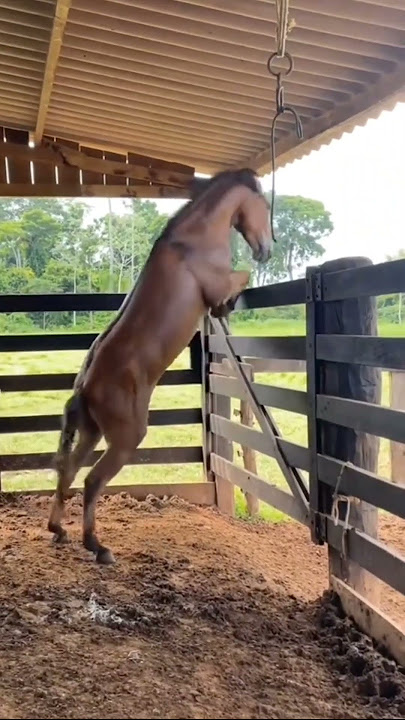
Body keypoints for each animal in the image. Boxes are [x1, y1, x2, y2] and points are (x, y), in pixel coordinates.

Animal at [47, 167, 272, 564]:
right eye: (265, 205)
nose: (266, 249)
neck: (191, 242)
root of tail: (84, 389)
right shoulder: (219, 286)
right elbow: (240, 279)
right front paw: (230, 305)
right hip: (125, 439)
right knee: (91, 480)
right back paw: (97, 546)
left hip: (92, 432)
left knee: (69, 471)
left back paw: (59, 530)